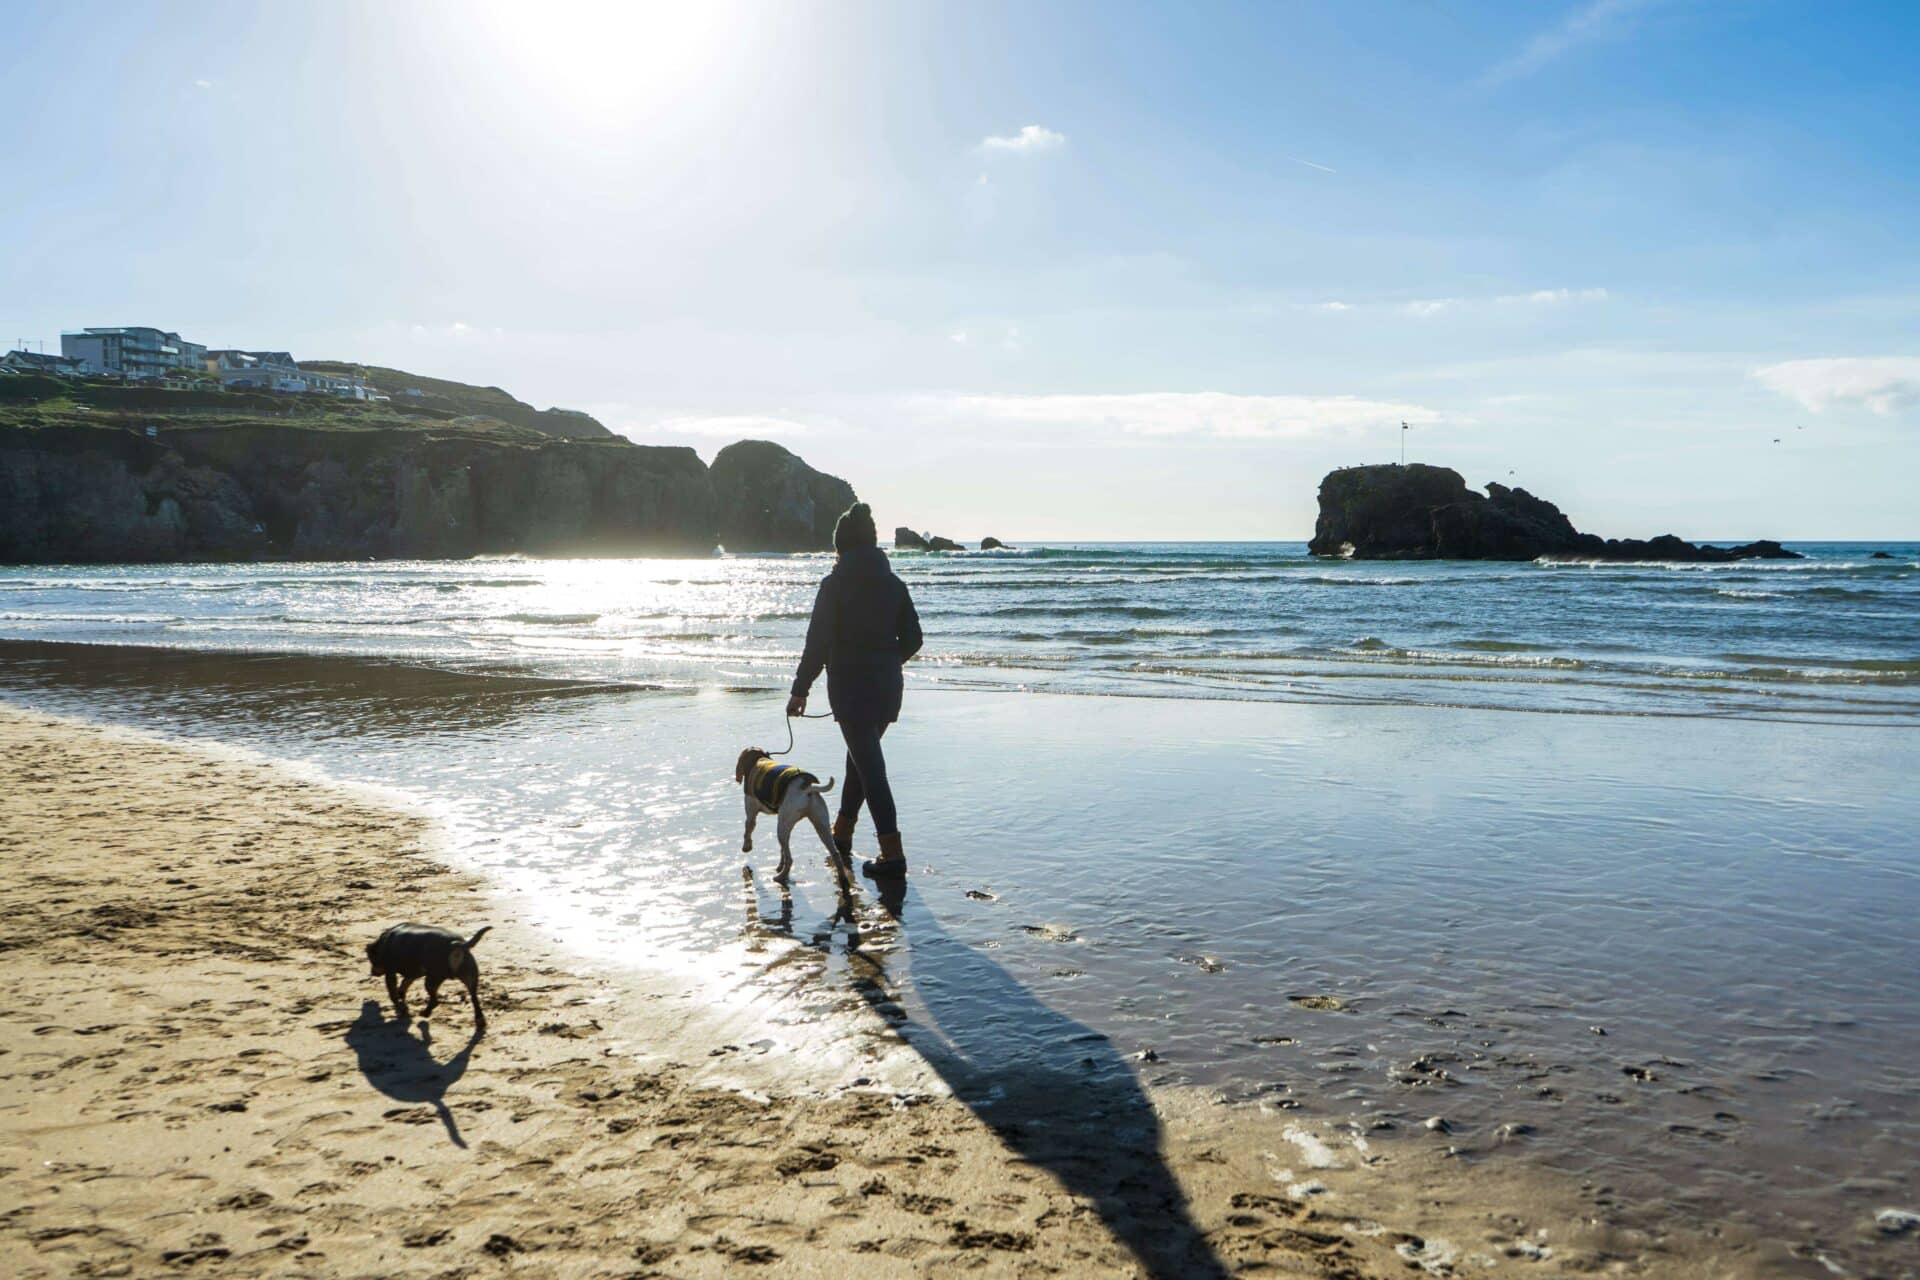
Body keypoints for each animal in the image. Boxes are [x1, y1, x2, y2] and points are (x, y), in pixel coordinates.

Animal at [733, 744, 840, 886]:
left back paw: (780, 877)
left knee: (790, 859)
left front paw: (746, 847)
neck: (757, 758)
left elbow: (748, 830)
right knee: (836, 853)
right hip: (821, 825)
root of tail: (806, 787)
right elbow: (781, 850)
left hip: (782, 828)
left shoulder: (751, 812)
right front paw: (779, 865)